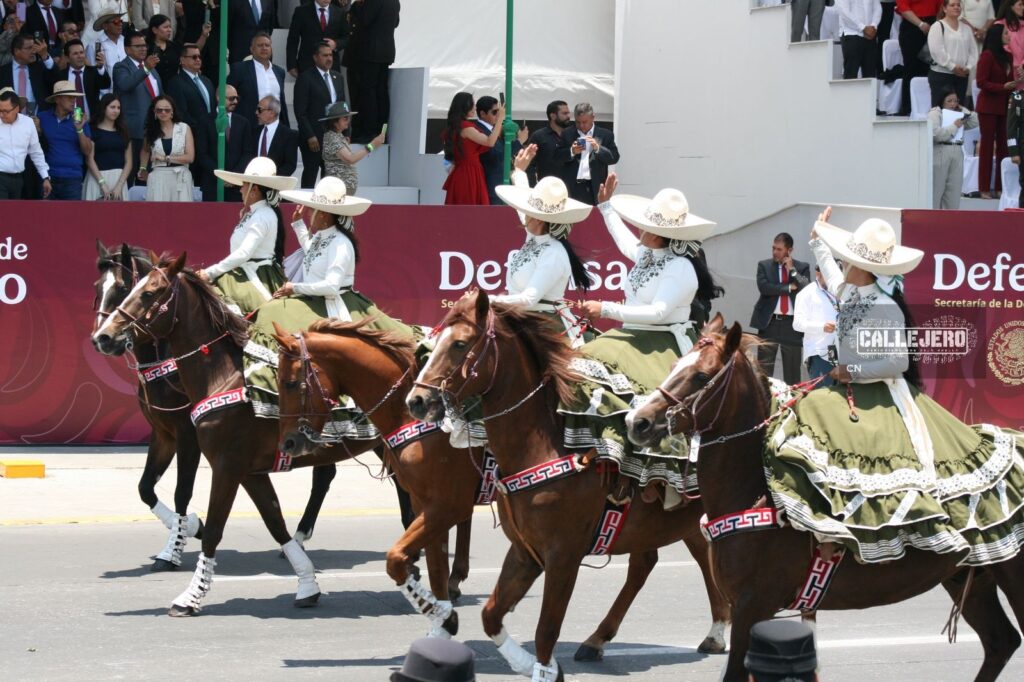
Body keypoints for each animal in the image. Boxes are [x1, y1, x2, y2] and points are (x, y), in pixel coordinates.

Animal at [90, 251, 387, 616]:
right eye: (98, 288)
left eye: (141, 292)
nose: (103, 337)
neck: (223, 376)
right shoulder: (174, 438)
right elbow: (148, 488)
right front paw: (306, 583)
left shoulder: (213, 455)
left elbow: (194, 506)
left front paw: (183, 563)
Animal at [404, 290, 731, 682]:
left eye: (460, 344)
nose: (417, 400)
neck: (542, 444)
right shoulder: (525, 551)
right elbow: (491, 614)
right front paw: (522, 661)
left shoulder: (562, 555)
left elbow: (546, 629)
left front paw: (542, 668)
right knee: (658, 561)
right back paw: (607, 639)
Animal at [625, 316, 1024, 681]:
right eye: (674, 366)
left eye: (701, 377)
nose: (637, 422)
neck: (754, 491)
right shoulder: (749, 607)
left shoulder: (754, 605)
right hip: (972, 578)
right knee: (1001, 641)